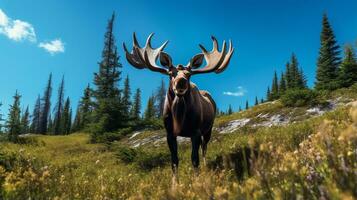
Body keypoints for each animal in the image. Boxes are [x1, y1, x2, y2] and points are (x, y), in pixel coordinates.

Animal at [123, 33, 234, 177]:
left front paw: (197, 179)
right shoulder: (170, 133)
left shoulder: (195, 131)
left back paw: (205, 165)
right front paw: (175, 182)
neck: (180, 117)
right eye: (170, 74)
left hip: (208, 129)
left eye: (189, 74)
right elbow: (174, 161)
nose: (181, 82)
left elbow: (194, 159)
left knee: (204, 148)